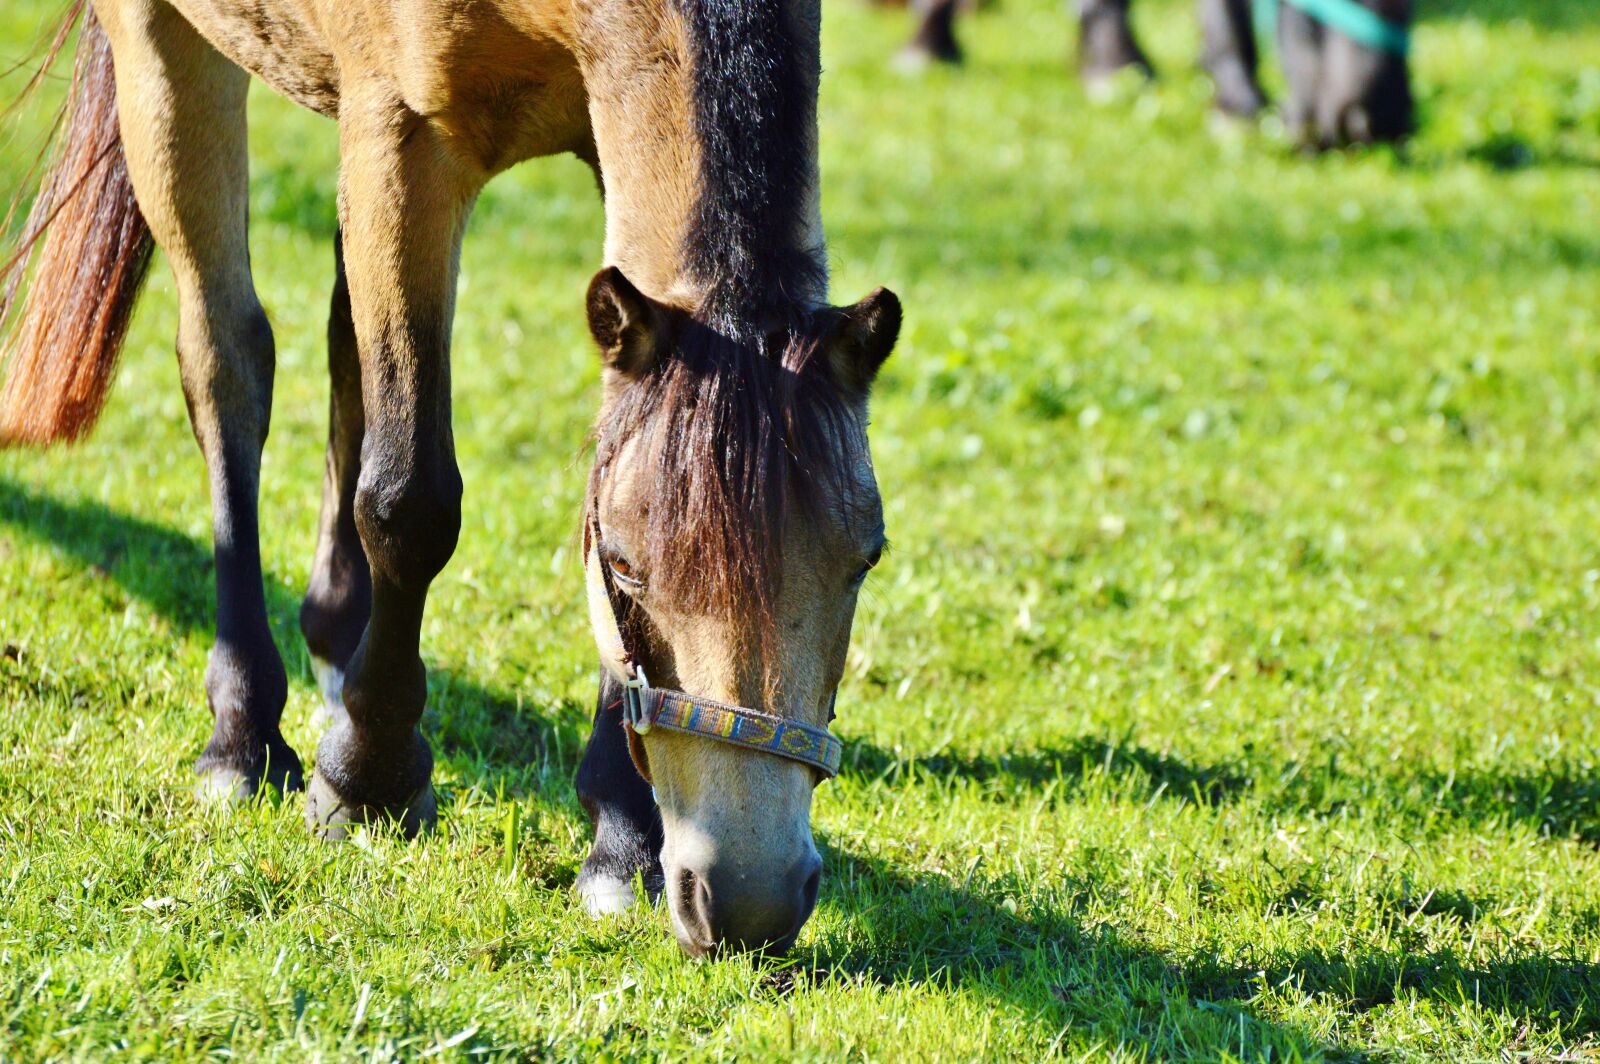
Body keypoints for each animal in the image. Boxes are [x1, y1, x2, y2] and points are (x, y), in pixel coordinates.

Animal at [0, 0, 902, 957]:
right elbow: (409, 503)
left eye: (866, 561)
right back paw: (244, 736)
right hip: (167, 51)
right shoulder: (404, 137)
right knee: (227, 362)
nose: (748, 900)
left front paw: (622, 842)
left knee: (342, 345)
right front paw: (369, 782)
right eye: (626, 568)